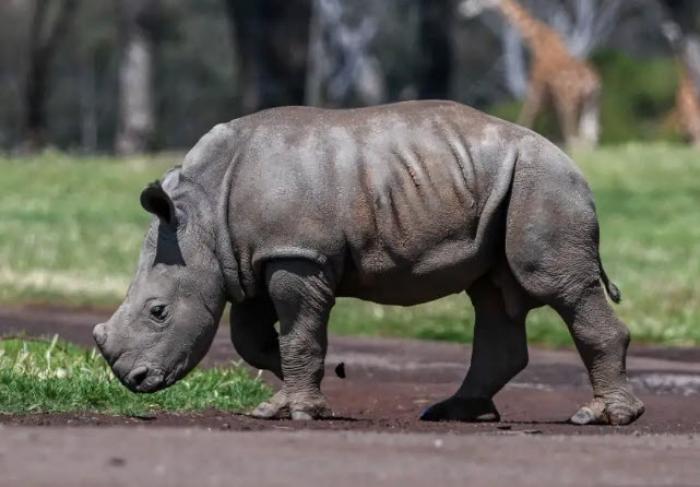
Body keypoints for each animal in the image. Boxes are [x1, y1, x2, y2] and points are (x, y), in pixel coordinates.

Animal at [93, 100, 644, 428]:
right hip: (504, 186)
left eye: (158, 312)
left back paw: (605, 418)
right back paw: (451, 414)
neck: (202, 215)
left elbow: (298, 334)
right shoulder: (250, 259)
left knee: (558, 286)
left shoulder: (297, 255)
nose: (133, 381)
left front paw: (305, 410)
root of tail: (572, 161)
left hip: (543, 183)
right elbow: (253, 340)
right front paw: (283, 402)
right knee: (492, 293)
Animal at [460, 0, 600, 149]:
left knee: (575, 137)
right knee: (590, 137)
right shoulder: (550, 96)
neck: (538, 41)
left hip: (569, 101)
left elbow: (527, 117)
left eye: (478, 1)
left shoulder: (537, 85)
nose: (463, 9)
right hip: (591, 103)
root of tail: (590, 82)